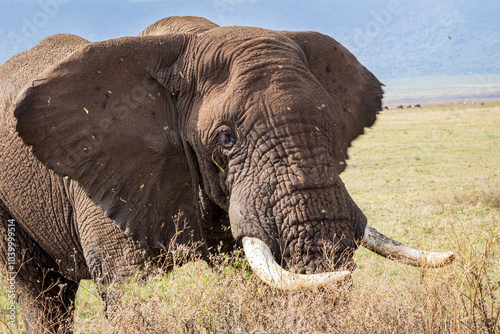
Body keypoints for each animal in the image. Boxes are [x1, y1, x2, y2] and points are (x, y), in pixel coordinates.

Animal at [0, 16, 454, 334]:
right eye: (226, 137)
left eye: (333, 128)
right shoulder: (107, 172)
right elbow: (129, 289)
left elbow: (249, 277)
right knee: (39, 289)